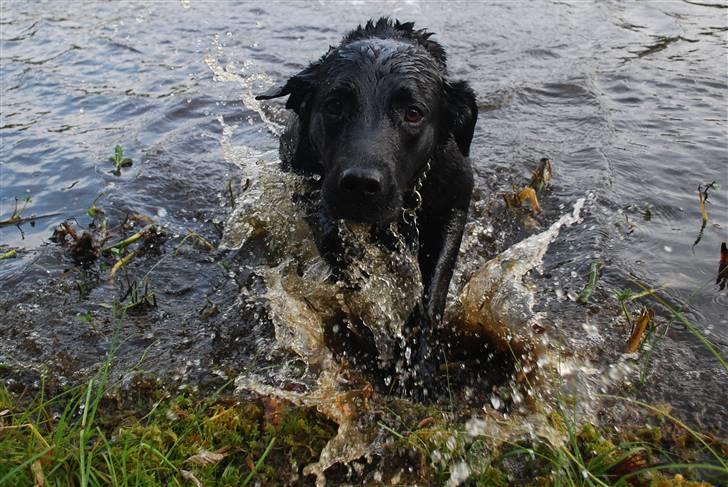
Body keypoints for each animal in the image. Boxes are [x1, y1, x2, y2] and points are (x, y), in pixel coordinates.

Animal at [256, 18, 478, 386]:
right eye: (334, 106)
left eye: (413, 113)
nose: (360, 184)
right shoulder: (309, 190)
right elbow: (338, 249)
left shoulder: (455, 205)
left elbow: (433, 293)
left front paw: (417, 365)